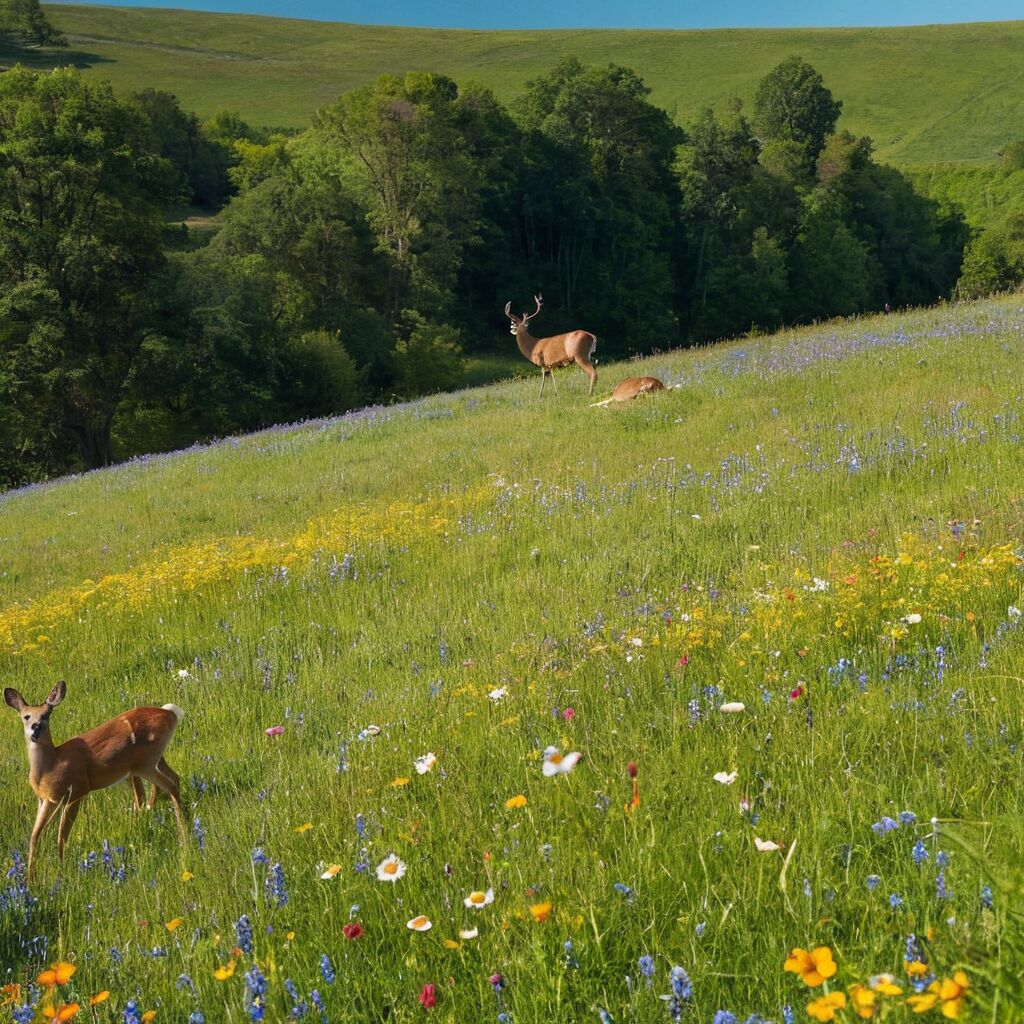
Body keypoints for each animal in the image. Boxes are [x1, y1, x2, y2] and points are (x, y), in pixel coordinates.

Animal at [4, 679, 188, 880]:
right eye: (26, 716)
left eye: (46, 714)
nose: (35, 728)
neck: (50, 766)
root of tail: (171, 713)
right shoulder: (46, 799)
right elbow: (35, 836)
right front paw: (31, 878)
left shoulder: (77, 790)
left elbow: (61, 836)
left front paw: (61, 869)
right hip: (150, 762)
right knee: (172, 779)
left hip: (145, 763)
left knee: (169, 785)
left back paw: (183, 835)